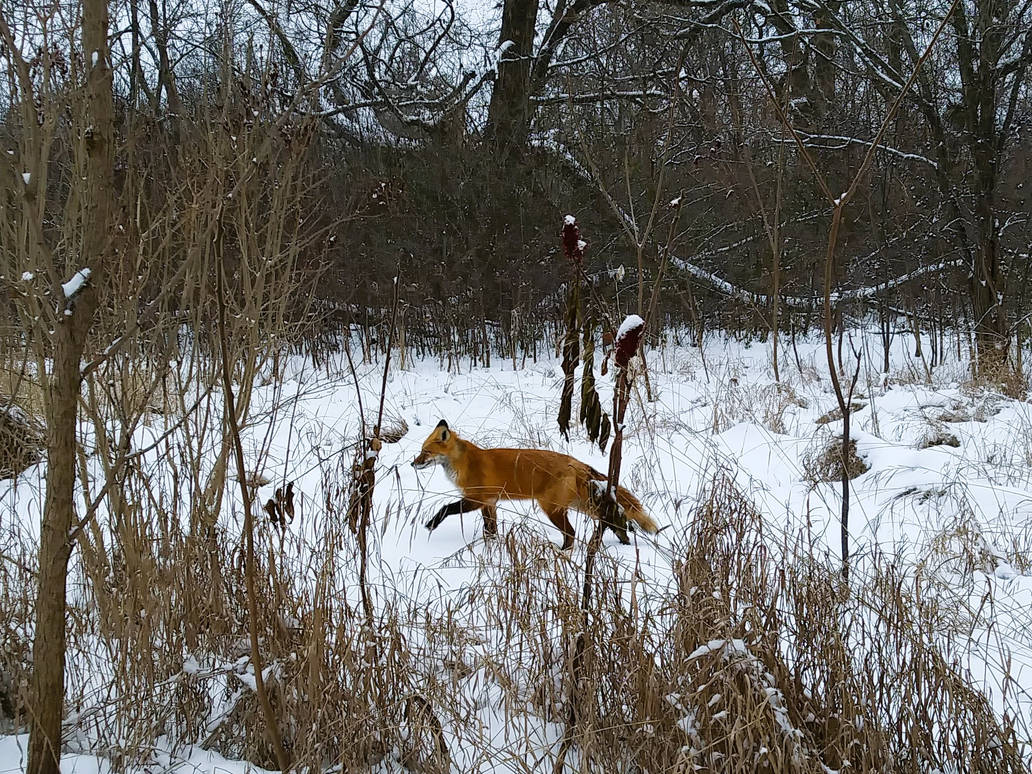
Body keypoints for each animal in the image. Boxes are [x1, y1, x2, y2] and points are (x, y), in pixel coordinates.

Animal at [411, 420, 659, 550]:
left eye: (426, 452)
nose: (413, 463)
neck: (465, 463)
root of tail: (576, 462)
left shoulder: (476, 499)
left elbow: (446, 508)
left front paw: (431, 524)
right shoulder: (489, 503)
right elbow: (490, 529)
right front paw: (492, 547)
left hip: (553, 509)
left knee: (572, 532)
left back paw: (564, 553)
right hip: (578, 504)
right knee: (609, 517)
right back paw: (623, 538)